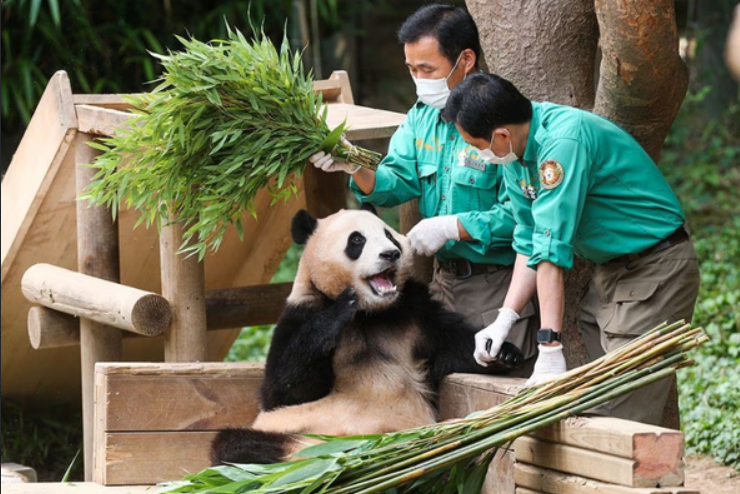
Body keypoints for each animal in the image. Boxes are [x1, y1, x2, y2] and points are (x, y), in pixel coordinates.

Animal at [211, 208, 524, 466]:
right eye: (357, 240)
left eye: (389, 235)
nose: (391, 254)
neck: (370, 313)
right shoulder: (299, 313)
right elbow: (282, 391)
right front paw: (340, 308)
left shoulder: (416, 313)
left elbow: (453, 343)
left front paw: (501, 351)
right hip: (286, 431)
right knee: (234, 446)